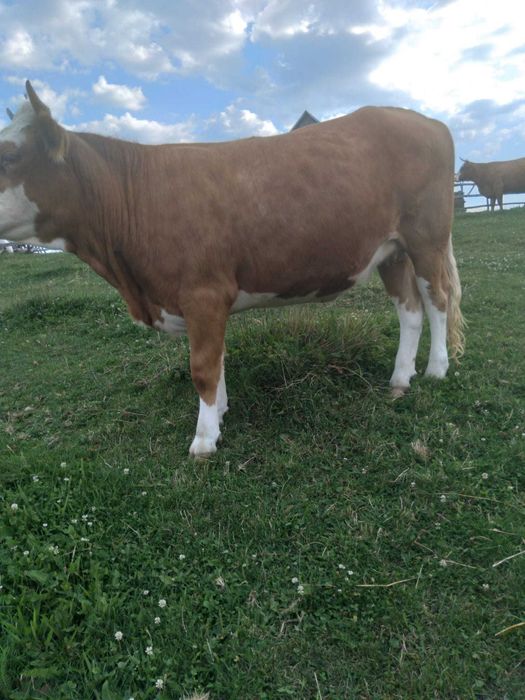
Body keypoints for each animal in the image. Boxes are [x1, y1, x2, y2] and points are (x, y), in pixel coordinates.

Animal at [0, 81, 464, 457]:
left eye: (8, 155)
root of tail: (424, 120)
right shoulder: (205, 302)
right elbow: (218, 360)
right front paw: (220, 413)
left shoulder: (203, 293)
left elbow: (203, 367)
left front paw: (204, 440)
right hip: (392, 251)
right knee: (410, 310)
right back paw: (400, 378)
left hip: (426, 237)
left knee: (438, 299)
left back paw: (436, 370)